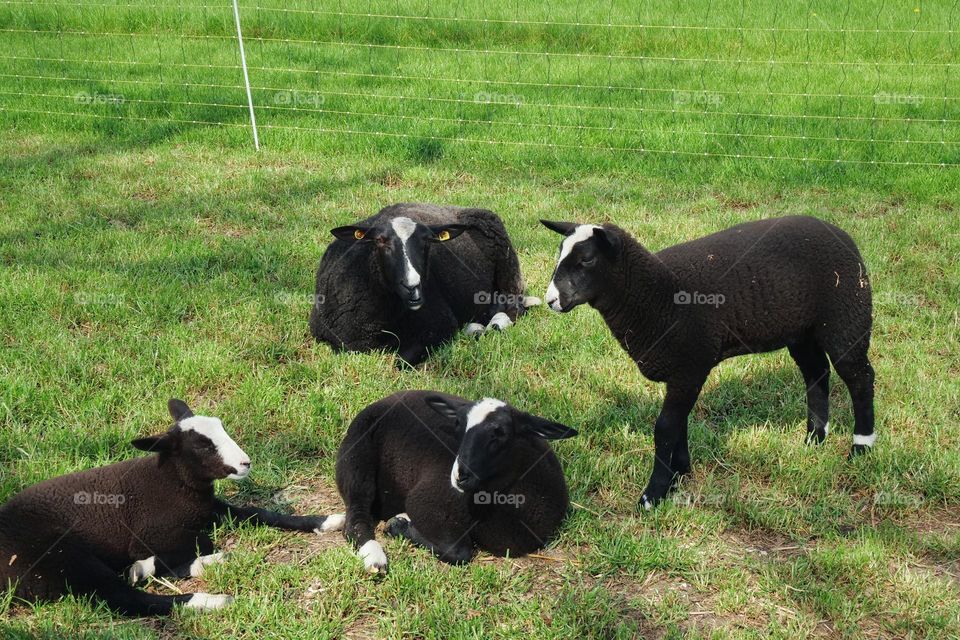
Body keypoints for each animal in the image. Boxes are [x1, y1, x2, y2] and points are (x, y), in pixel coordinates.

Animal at [0, 400, 344, 616]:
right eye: (202, 445)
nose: (246, 463)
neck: (174, 483)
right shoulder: (152, 534)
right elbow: (200, 541)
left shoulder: (211, 508)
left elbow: (260, 513)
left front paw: (329, 520)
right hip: (61, 557)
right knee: (125, 598)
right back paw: (212, 598)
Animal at [310, 202, 540, 368]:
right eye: (380, 241)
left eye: (427, 242)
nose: (413, 287)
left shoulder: (440, 324)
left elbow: (400, 362)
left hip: (509, 269)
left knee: (515, 306)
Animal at [330, 390, 576, 576]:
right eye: (458, 424)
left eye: (501, 433)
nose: (460, 475)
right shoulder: (426, 501)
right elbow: (460, 553)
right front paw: (399, 525)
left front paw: (401, 522)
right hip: (357, 457)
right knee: (356, 517)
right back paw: (375, 558)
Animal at [544, 215, 872, 510]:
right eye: (560, 253)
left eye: (587, 260)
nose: (550, 300)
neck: (659, 295)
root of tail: (840, 232)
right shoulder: (679, 370)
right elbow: (678, 425)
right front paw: (679, 475)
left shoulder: (691, 366)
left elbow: (664, 428)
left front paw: (653, 495)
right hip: (802, 331)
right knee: (816, 373)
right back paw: (815, 437)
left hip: (847, 316)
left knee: (860, 378)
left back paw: (861, 446)